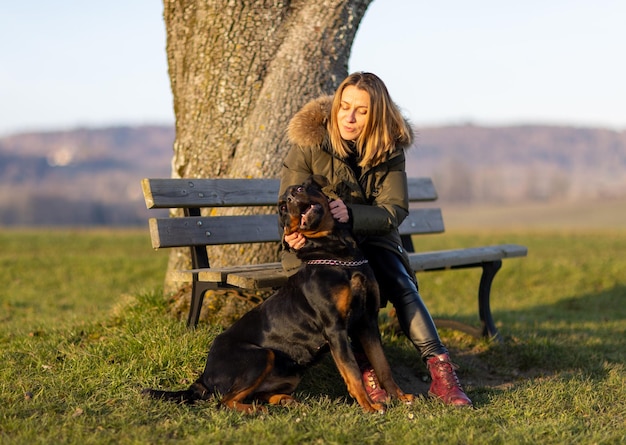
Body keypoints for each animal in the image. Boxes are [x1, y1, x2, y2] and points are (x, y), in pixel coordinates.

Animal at [143, 173, 412, 412]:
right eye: (282, 207)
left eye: (300, 189)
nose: (291, 197)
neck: (338, 255)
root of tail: (204, 375)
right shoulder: (335, 328)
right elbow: (353, 371)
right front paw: (369, 406)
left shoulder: (367, 321)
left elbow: (383, 365)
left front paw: (400, 397)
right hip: (261, 356)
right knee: (224, 402)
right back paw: (255, 410)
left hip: (290, 373)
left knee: (256, 394)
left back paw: (286, 401)